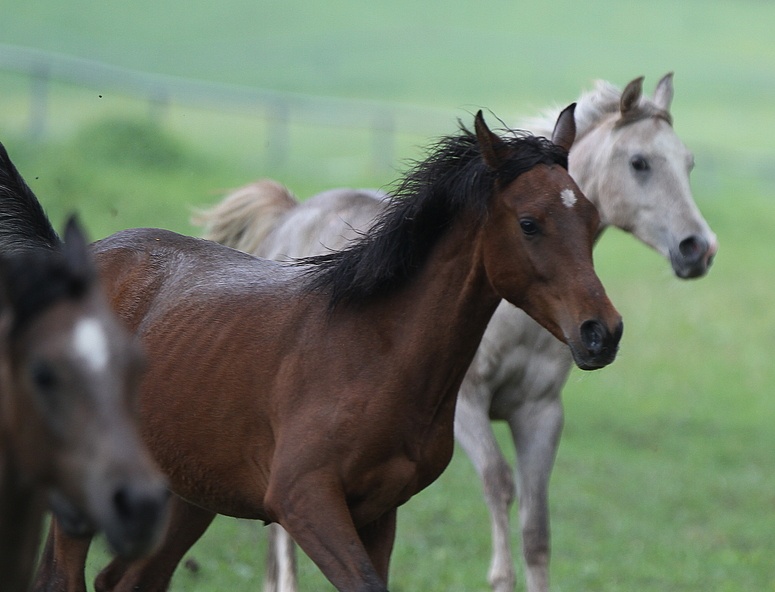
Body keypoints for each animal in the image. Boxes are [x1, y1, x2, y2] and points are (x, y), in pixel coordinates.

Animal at [38, 108, 624, 588]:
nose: (603, 332)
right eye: (529, 223)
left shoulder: (380, 511)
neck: (375, 351)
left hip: (184, 498)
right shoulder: (304, 502)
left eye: (591, 219)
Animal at [197, 73, 720, 592]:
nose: (697, 248)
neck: (516, 320)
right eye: (639, 162)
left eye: (689, 162)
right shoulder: (468, 406)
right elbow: (498, 482)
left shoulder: (540, 412)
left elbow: (536, 529)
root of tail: (292, 214)